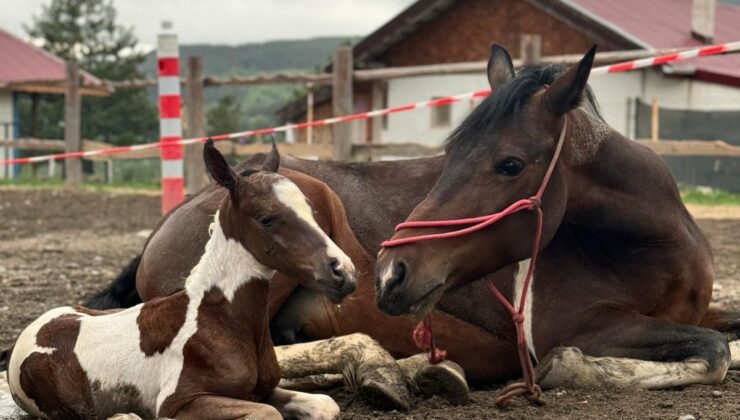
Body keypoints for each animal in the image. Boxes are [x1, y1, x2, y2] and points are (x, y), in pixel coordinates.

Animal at [6, 139, 356, 418]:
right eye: (267, 218)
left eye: (311, 208)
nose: (344, 272)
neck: (221, 320)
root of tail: (30, 331)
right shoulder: (181, 403)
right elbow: (268, 413)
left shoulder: (263, 390)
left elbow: (326, 405)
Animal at [378, 46, 740, 398]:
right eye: (450, 153)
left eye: (511, 164)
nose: (390, 272)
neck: (657, 248)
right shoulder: (583, 326)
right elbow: (715, 349)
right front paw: (571, 366)